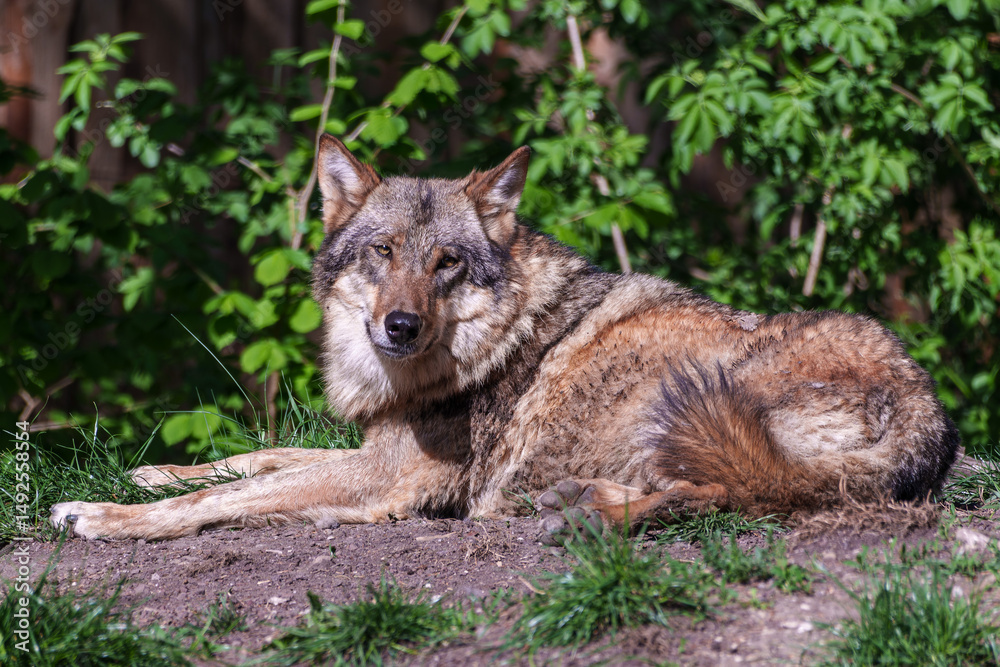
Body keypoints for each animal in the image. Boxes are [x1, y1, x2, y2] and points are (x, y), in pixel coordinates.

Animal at [50, 135, 960, 541]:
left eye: (447, 262)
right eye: (383, 253)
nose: (400, 324)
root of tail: (929, 413)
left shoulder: (383, 479)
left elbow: (234, 495)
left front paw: (104, 514)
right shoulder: (370, 447)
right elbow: (254, 457)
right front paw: (150, 469)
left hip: (683, 401)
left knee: (728, 492)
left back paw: (577, 510)